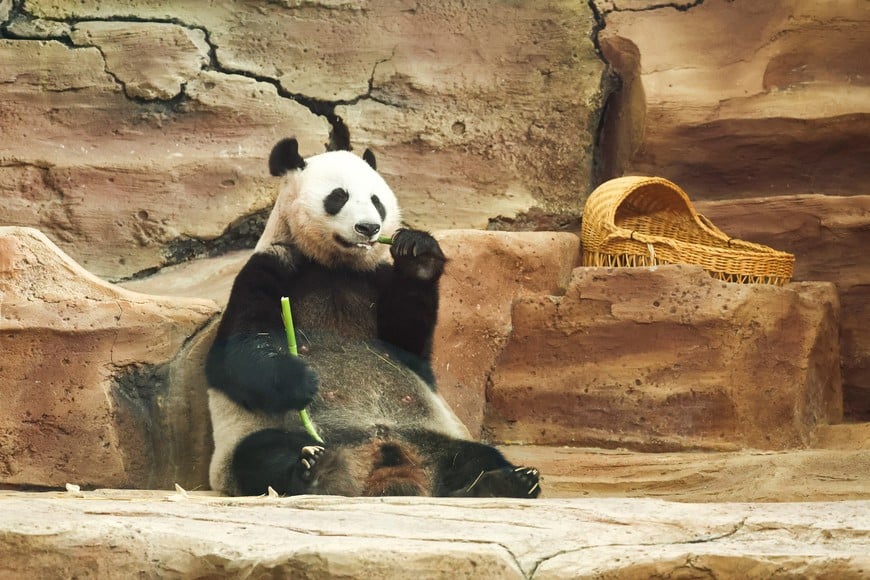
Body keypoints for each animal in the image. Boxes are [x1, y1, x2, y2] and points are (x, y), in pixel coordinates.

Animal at [205, 137, 541, 498]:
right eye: (338, 197)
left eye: (376, 201)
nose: (369, 228)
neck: (335, 266)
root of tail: (390, 468)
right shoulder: (270, 268)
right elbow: (234, 355)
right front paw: (301, 380)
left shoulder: (375, 280)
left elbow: (409, 343)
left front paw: (419, 254)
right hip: (270, 438)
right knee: (262, 453)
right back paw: (313, 470)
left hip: (433, 435)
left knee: (475, 457)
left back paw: (508, 481)